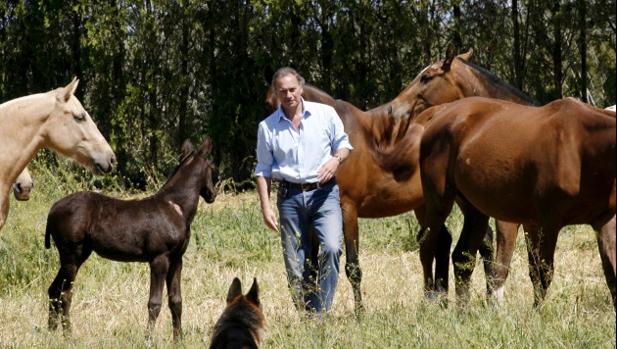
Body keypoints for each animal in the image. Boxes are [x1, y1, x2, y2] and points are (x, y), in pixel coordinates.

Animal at [44, 137, 217, 338]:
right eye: (211, 168)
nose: (212, 194)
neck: (177, 207)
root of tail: (52, 210)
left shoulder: (177, 259)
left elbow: (176, 301)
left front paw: (178, 339)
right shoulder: (159, 258)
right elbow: (154, 303)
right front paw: (148, 339)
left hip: (77, 255)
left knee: (54, 290)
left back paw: (51, 334)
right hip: (72, 255)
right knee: (65, 294)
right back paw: (69, 336)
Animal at [266, 48, 536, 310]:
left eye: (427, 77)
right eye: (270, 102)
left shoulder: (347, 209)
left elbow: (352, 266)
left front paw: (360, 313)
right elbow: (310, 267)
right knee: (450, 241)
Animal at [416, 96, 612, 306]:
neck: (580, 144)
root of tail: (440, 112)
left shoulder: (604, 220)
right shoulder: (548, 223)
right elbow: (542, 273)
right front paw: (538, 311)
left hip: (475, 210)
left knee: (462, 258)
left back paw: (463, 310)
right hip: (439, 202)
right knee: (427, 245)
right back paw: (430, 300)